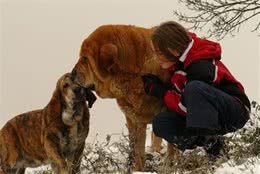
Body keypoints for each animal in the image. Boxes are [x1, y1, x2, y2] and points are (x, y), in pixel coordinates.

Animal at [72, 24, 172, 171]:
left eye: (85, 58)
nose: (72, 72)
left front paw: (171, 166)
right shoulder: (133, 119)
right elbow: (136, 150)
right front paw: (137, 169)